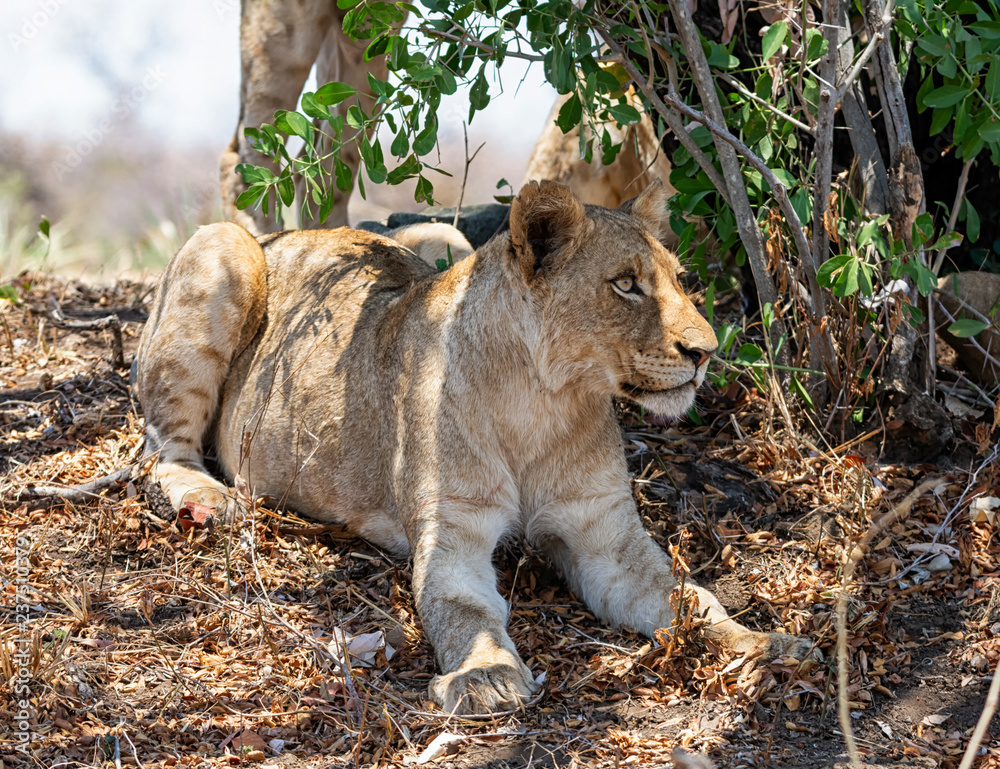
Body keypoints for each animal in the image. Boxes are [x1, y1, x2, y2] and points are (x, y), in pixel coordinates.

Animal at [135, 179, 813, 714]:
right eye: (625, 284)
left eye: (680, 281)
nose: (706, 353)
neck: (542, 401)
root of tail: (291, 231)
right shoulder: (452, 529)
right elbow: (464, 610)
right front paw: (485, 676)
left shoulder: (604, 533)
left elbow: (689, 596)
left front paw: (765, 644)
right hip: (223, 247)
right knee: (164, 451)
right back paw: (209, 500)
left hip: (442, 237)